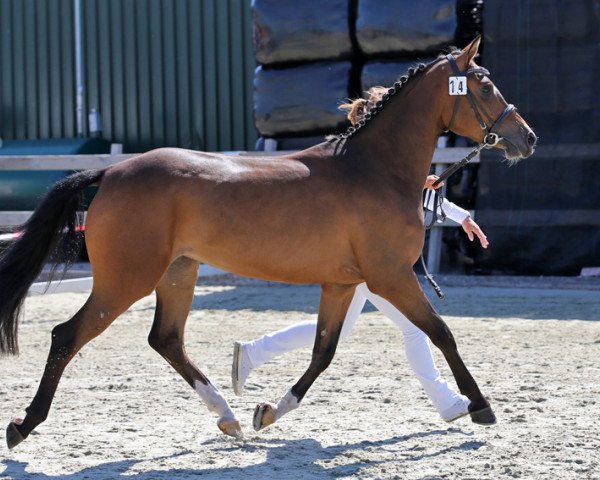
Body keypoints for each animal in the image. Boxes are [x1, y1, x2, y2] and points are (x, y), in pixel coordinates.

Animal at [0, 35, 536, 448]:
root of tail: (110, 172)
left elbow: (323, 352)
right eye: (485, 85)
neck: (374, 171)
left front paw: (269, 412)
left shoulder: (343, 285)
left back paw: (229, 416)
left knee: (166, 339)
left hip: (178, 273)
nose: (526, 138)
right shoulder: (391, 277)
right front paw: (480, 405)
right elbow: (442, 332)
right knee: (67, 336)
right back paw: (23, 425)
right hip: (125, 280)